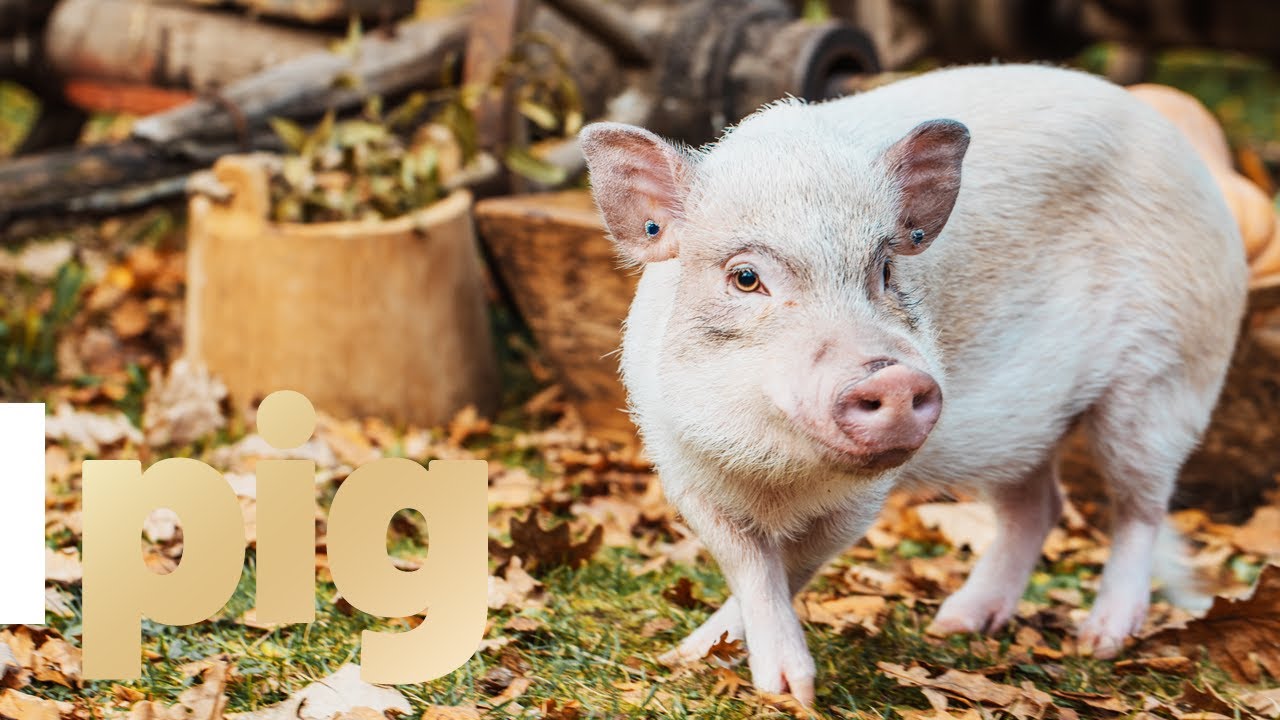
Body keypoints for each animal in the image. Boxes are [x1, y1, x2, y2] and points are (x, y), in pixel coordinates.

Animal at [579, 63, 1247, 705]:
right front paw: (688, 658)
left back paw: (1098, 640)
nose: (895, 375)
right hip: (1029, 427)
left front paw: (789, 691)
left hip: (1166, 380)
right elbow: (750, 564)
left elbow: (793, 564)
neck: (776, 471)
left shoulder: (861, 502)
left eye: (885, 270)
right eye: (745, 278)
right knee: (1039, 507)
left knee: (1139, 507)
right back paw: (956, 624)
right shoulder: (680, 465)